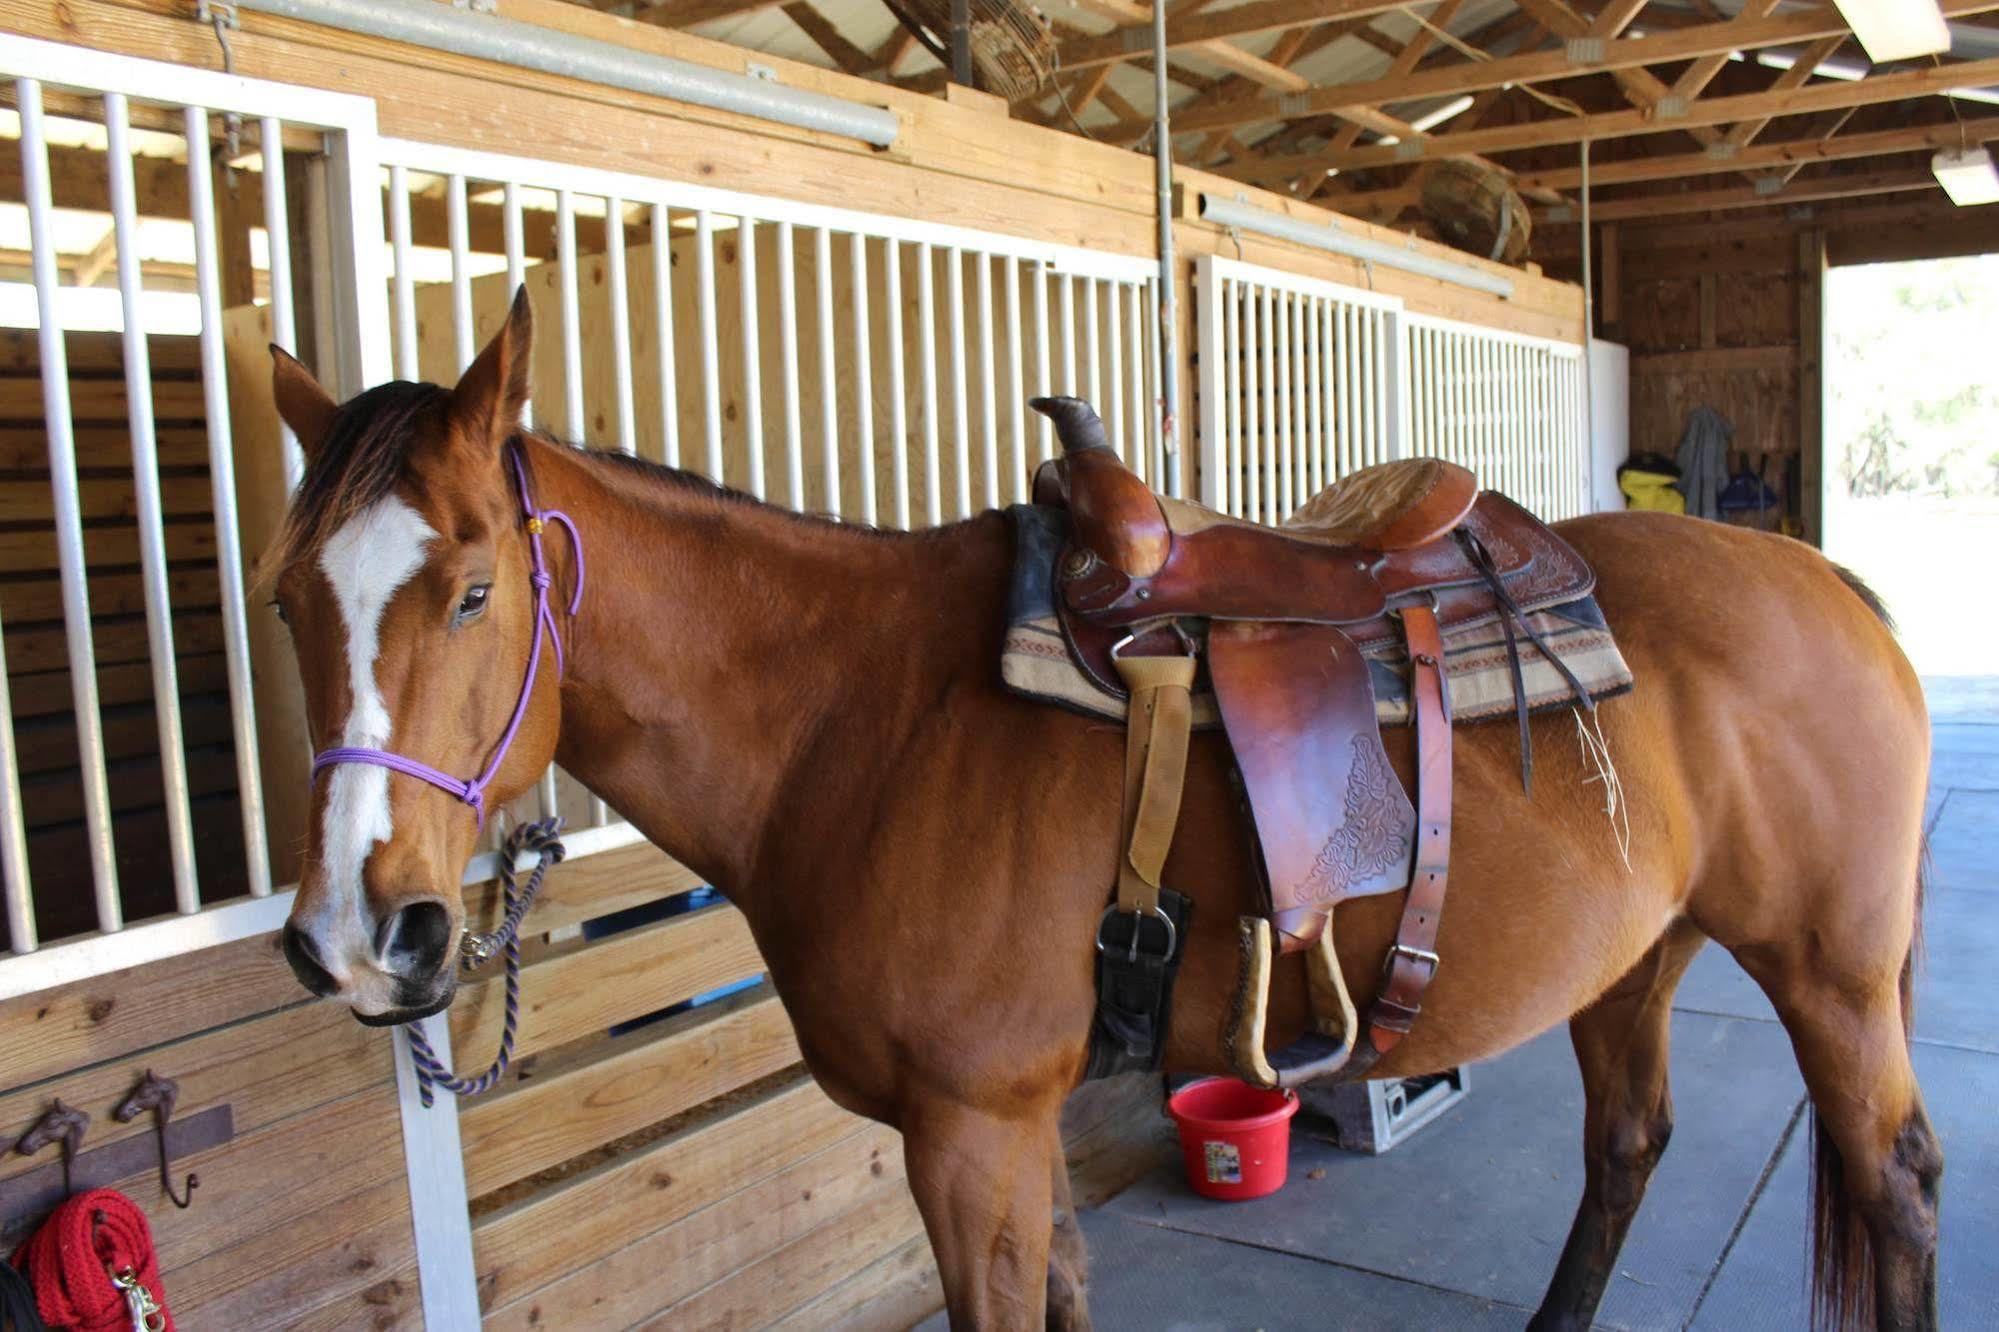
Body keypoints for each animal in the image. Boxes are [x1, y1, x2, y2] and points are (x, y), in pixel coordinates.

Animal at [257, 294, 1927, 1328]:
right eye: (284, 602)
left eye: (474, 590)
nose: (357, 936)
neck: (854, 719)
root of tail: (1825, 582)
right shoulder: (1016, 1131)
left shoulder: (970, 1132)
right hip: (1635, 957)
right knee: (1627, 1146)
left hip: (1829, 976)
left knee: (1894, 1182)